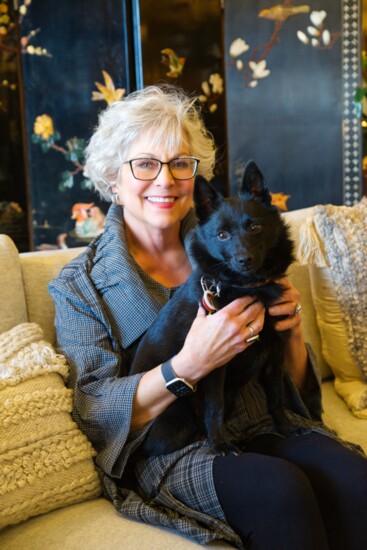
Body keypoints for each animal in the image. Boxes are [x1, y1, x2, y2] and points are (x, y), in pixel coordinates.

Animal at [131, 162, 294, 460]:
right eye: (222, 235)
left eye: (255, 227)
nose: (244, 260)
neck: (245, 287)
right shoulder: (215, 365)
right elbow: (214, 407)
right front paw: (219, 445)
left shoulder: (275, 355)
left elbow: (276, 398)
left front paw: (287, 429)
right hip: (178, 423)